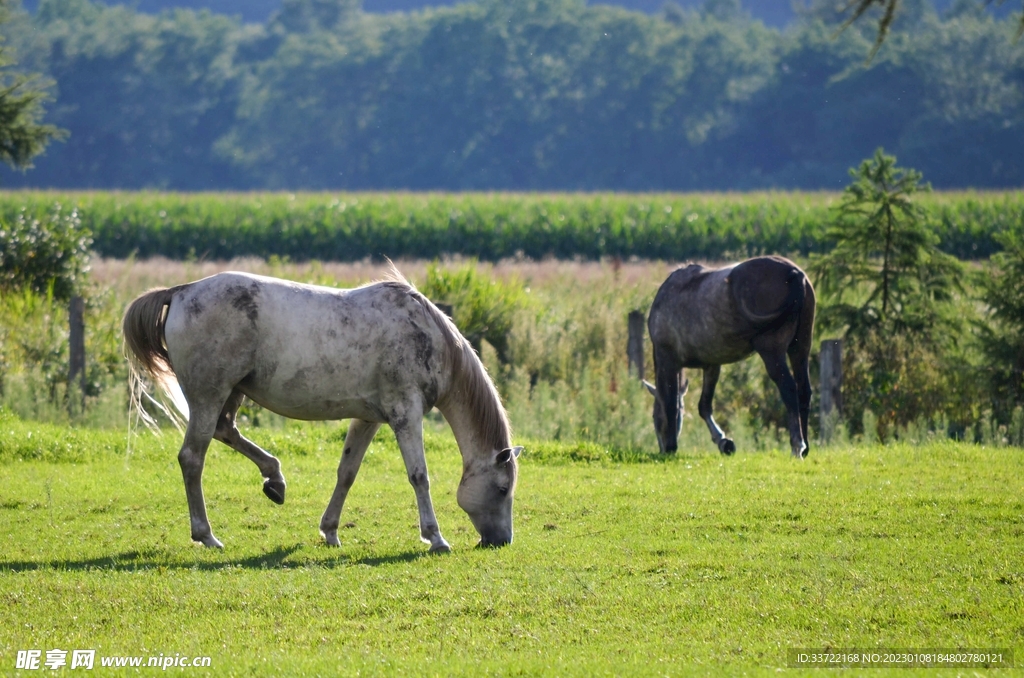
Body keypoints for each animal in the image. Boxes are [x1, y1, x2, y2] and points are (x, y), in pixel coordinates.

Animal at [121, 270, 520, 553]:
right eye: (502, 489)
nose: (502, 540)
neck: (428, 337)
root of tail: (181, 291)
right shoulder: (406, 413)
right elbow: (419, 475)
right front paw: (435, 538)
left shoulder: (369, 418)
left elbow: (347, 472)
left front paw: (330, 531)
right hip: (209, 395)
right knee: (192, 458)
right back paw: (206, 535)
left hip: (232, 393)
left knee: (226, 430)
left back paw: (275, 479)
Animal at [647, 258, 815, 458]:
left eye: (653, 417)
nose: (662, 448)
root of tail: (794, 273)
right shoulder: (711, 365)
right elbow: (704, 406)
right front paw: (724, 443)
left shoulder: (668, 361)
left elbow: (671, 404)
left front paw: (672, 447)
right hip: (800, 348)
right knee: (804, 390)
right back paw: (806, 448)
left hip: (772, 352)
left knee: (789, 389)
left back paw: (797, 446)